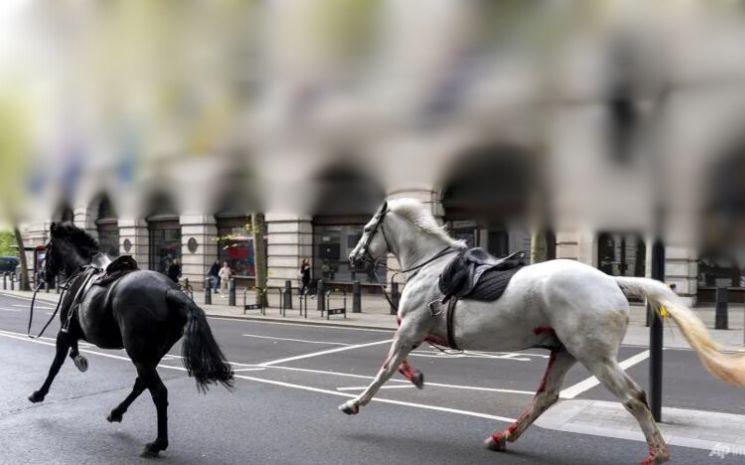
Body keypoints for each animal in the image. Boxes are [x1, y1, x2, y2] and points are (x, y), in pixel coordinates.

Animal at [29, 221, 234, 457]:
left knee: (158, 392)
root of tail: (169, 291)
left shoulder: (65, 332)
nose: (42, 274)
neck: (83, 269)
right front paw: (79, 360)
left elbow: (55, 366)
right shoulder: (72, 332)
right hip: (150, 354)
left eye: (48, 249)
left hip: (138, 353)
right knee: (141, 383)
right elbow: (72, 352)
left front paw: (39, 393)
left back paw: (156, 444)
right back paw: (117, 413)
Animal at [338, 198, 745, 465]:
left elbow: (386, 369)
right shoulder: (415, 331)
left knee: (634, 396)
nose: (354, 258)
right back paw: (503, 437)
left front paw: (354, 403)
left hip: (594, 355)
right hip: (564, 351)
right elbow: (398, 364)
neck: (431, 267)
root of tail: (612, 281)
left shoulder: (410, 328)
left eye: (366, 229)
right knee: (545, 397)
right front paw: (417, 376)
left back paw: (656, 454)